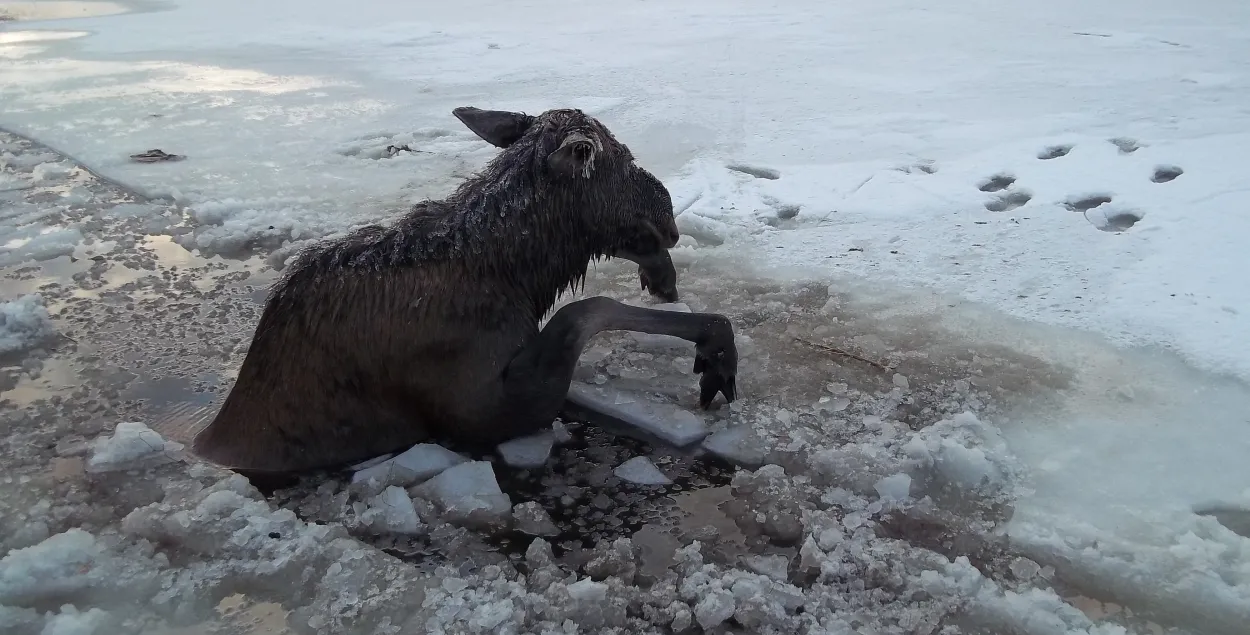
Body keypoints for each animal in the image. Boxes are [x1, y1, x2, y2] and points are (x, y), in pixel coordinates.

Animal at [193, 108, 735, 475]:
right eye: (621, 159)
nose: (669, 219)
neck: (522, 277)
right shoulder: (480, 412)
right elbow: (587, 309)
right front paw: (716, 345)